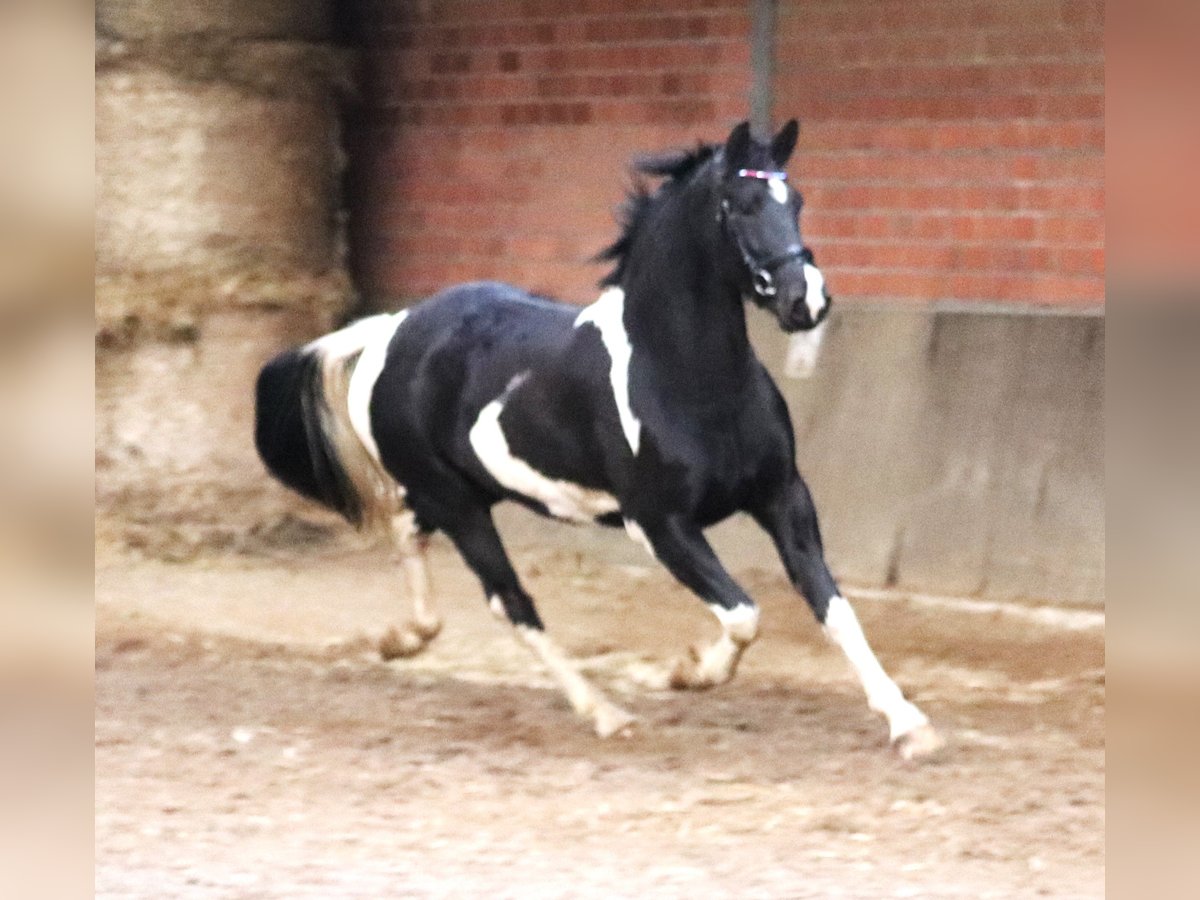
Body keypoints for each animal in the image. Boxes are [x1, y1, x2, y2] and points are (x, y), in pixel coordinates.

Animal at [258, 116, 940, 758]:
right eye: (741, 205)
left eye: (794, 200)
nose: (807, 301)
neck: (688, 378)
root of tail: (392, 329)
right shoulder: (660, 524)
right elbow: (744, 614)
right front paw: (684, 672)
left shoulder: (783, 496)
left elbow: (834, 608)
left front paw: (909, 725)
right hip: (459, 506)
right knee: (512, 602)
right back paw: (606, 713)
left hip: (458, 494)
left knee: (408, 532)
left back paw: (403, 639)